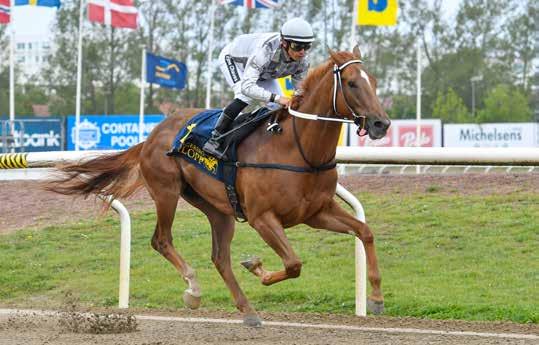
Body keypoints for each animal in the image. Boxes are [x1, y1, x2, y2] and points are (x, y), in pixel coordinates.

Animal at [46, 46, 390, 326]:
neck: (299, 149)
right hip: (167, 190)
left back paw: (247, 311)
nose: (381, 124)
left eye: (373, 81)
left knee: (220, 257)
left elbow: (366, 232)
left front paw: (375, 298)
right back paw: (193, 289)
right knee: (162, 240)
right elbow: (293, 264)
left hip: (218, 208)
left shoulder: (316, 212)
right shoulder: (263, 218)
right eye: (352, 83)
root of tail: (153, 133)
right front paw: (258, 268)